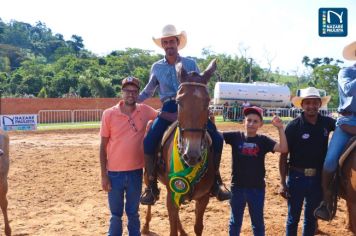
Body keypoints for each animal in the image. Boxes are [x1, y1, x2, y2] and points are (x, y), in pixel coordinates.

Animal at [143, 59, 217, 236]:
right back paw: (145, 226)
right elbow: (172, 228)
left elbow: (198, 227)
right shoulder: (172, 196)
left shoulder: (203, 198)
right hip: (147, 176)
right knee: (149, 200)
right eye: (178, 102)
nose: (192, 154)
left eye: (207, 102)